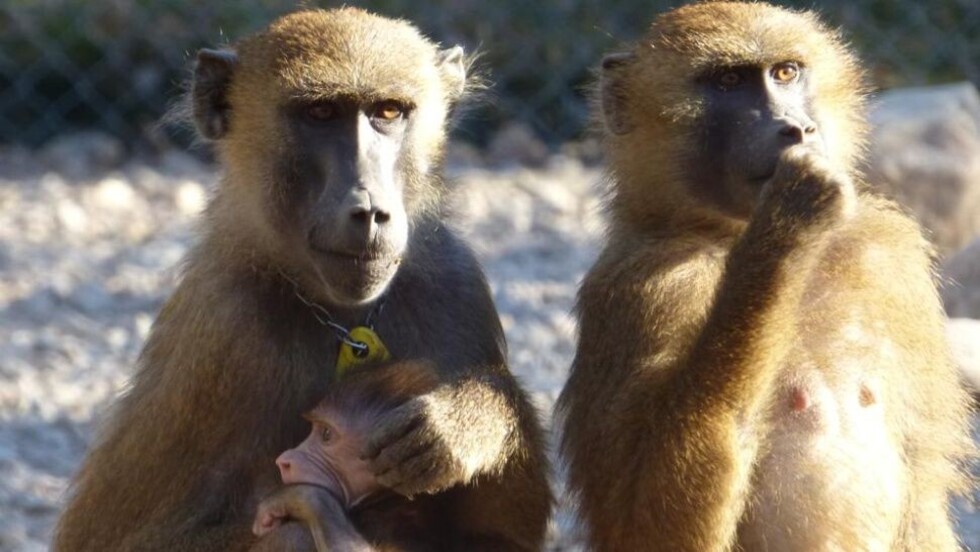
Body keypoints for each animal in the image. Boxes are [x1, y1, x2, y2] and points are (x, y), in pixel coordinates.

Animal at [53, 8, 551, 552]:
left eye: (389, 112)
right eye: (320, 114)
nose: (368, 211)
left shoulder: (455, 285)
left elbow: (503, 535)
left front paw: (462, 423)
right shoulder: (222, 334)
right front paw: (317, 504)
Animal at [557, 3, 974, 551]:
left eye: (785, 73)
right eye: (729, 81)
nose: (795, 129)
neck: (721, 231)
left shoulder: (889, 256)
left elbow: (922, 491)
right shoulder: (641, 289)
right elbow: (642, 525)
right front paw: (783, 229)